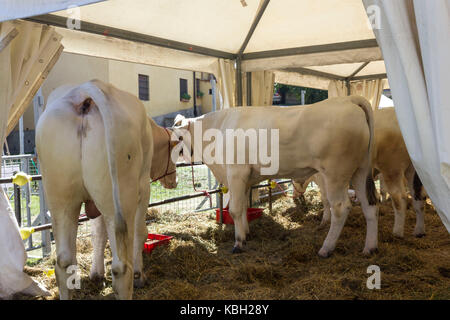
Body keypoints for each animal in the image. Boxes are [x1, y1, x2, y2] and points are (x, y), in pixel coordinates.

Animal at [36, 80, 158, 300]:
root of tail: (83, 91)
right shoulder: (144, 188)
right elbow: (140, 232)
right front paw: (139, 276)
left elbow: (98, 232)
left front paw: (96, 274)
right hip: (122, 192)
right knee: (121, 266)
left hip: (60, 196)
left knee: (63, 261)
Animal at [173, 95, 380, 258]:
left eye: (178, 136)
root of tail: (348, 99)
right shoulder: (246, 178)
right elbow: (244, 208)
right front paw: (247, 233)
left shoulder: (236, 173)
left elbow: (235, 209)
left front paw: (238, 243)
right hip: (360, 171)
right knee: (370, 205)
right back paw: (370, 248)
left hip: (335, 174)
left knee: (340, 207)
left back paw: (326, 249)